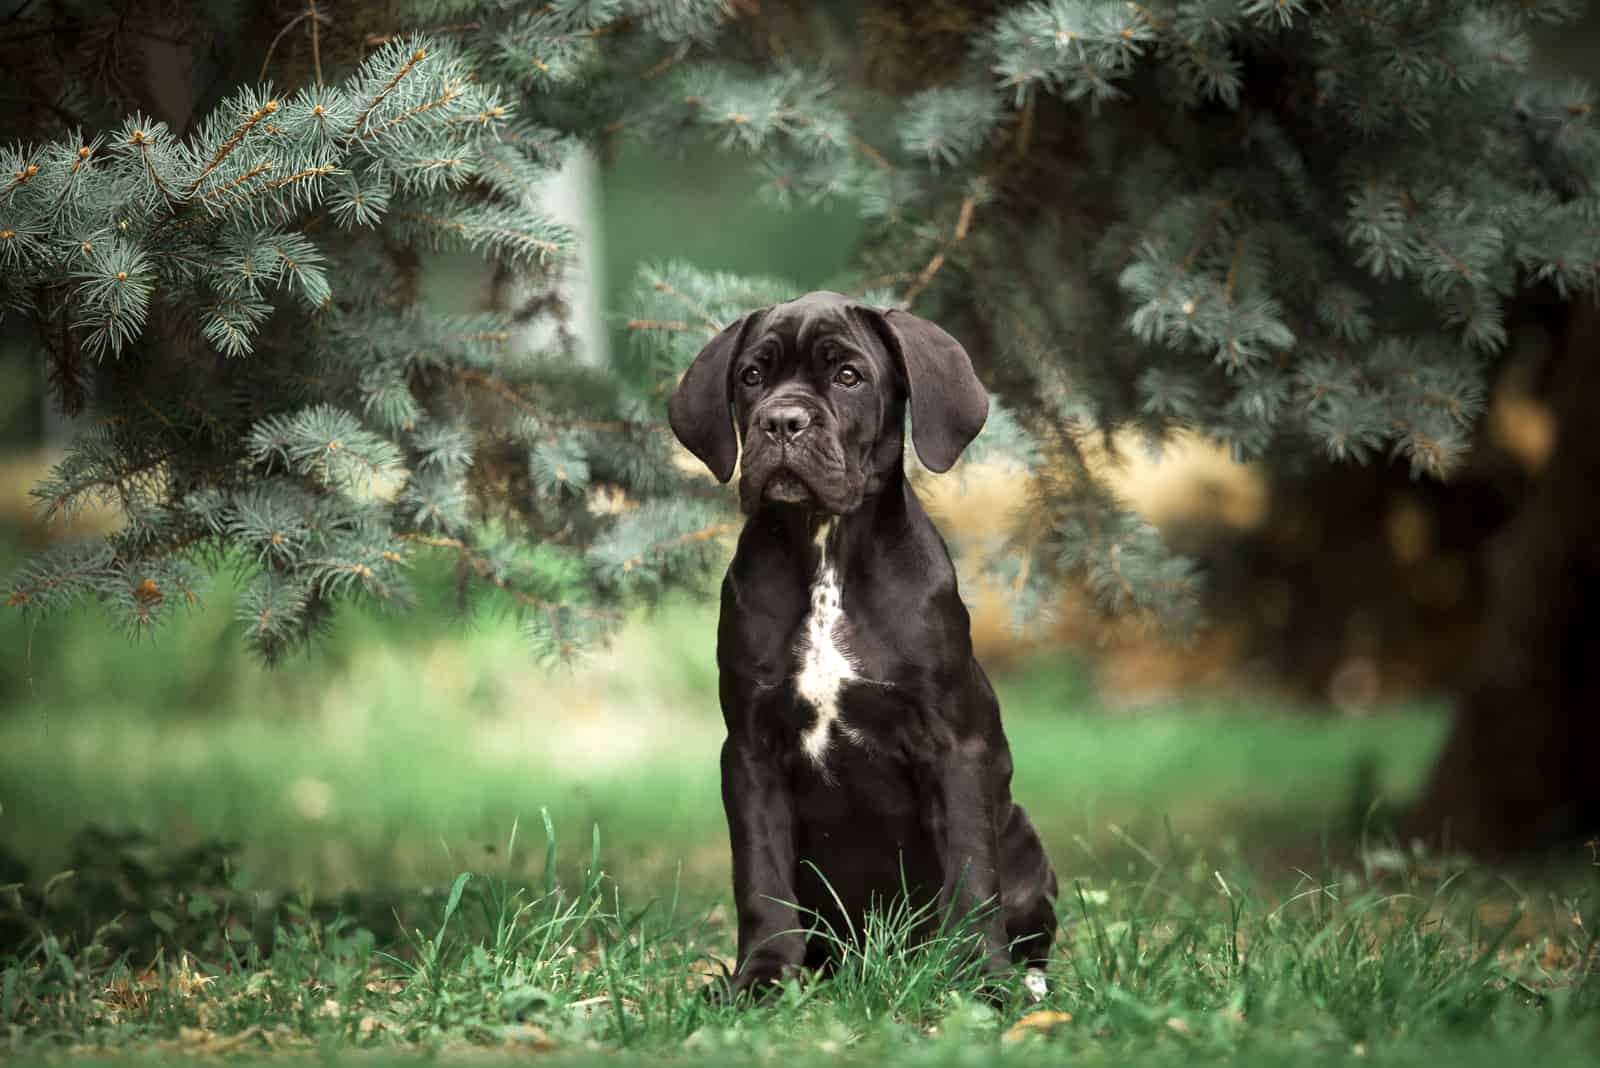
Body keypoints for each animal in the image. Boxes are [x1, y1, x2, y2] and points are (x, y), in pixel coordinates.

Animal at [668, 289, 1056, 1004]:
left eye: (849, 377)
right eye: (752, 377)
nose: (782, 422)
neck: (826, 545)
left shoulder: (954, 747)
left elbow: (971, 872)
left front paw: (980, 982)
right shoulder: (751, 752)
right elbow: (761, 880)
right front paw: (762, 978)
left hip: (1023, 841)